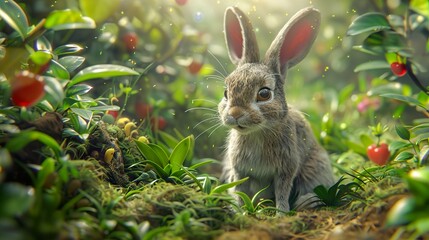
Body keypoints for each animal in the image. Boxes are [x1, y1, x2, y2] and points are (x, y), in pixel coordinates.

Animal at [217, 5, 334, 213]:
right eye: (226, 92)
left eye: (264, 94)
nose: (235, 114)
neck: (257, 132)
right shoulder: (239, 170)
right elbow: (239, 190)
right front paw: (242, 211)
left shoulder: (286, 169)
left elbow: (282, 192)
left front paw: (281, 213)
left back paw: (307, 202)